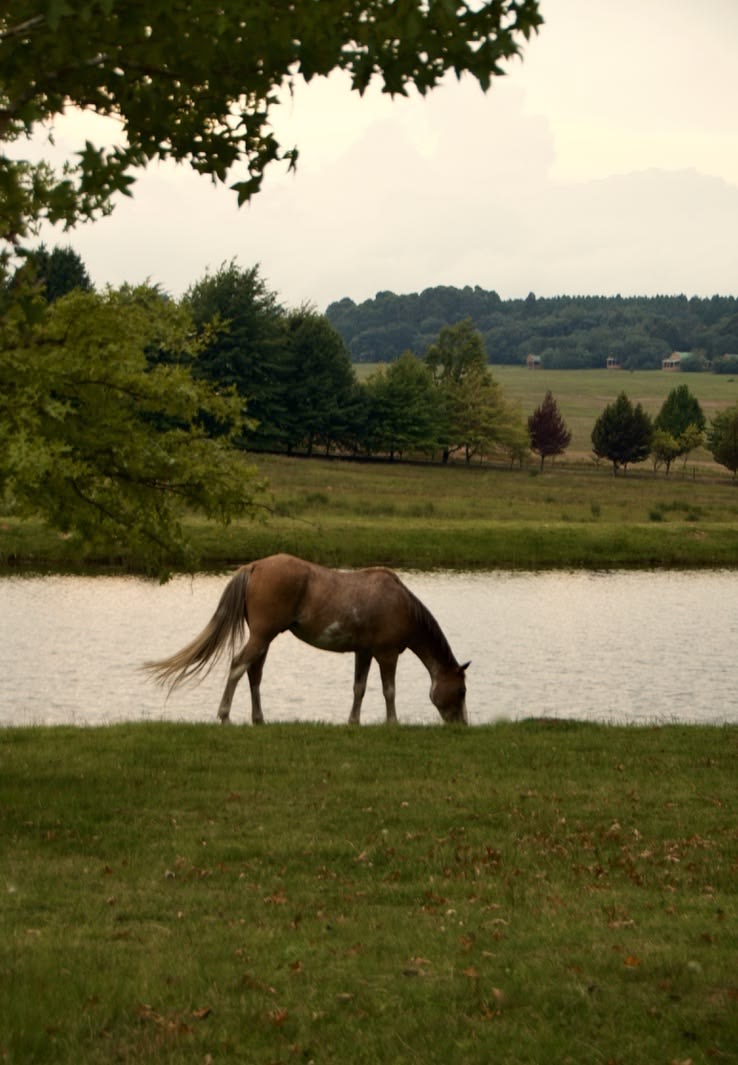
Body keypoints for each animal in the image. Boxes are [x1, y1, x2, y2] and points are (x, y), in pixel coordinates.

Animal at [145, 553, 469, 725]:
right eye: (462, 691)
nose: (461, 725)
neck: (399, 602)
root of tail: (255, 566)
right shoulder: (386, 654)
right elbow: (389, 690)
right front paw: (393, 723)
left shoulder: (363, 652)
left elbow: (359, 688)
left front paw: (353, 722)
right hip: (262, 635)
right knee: (238, 666)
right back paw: (225, 716)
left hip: (263, 638)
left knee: (253, 673)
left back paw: (259, 718)